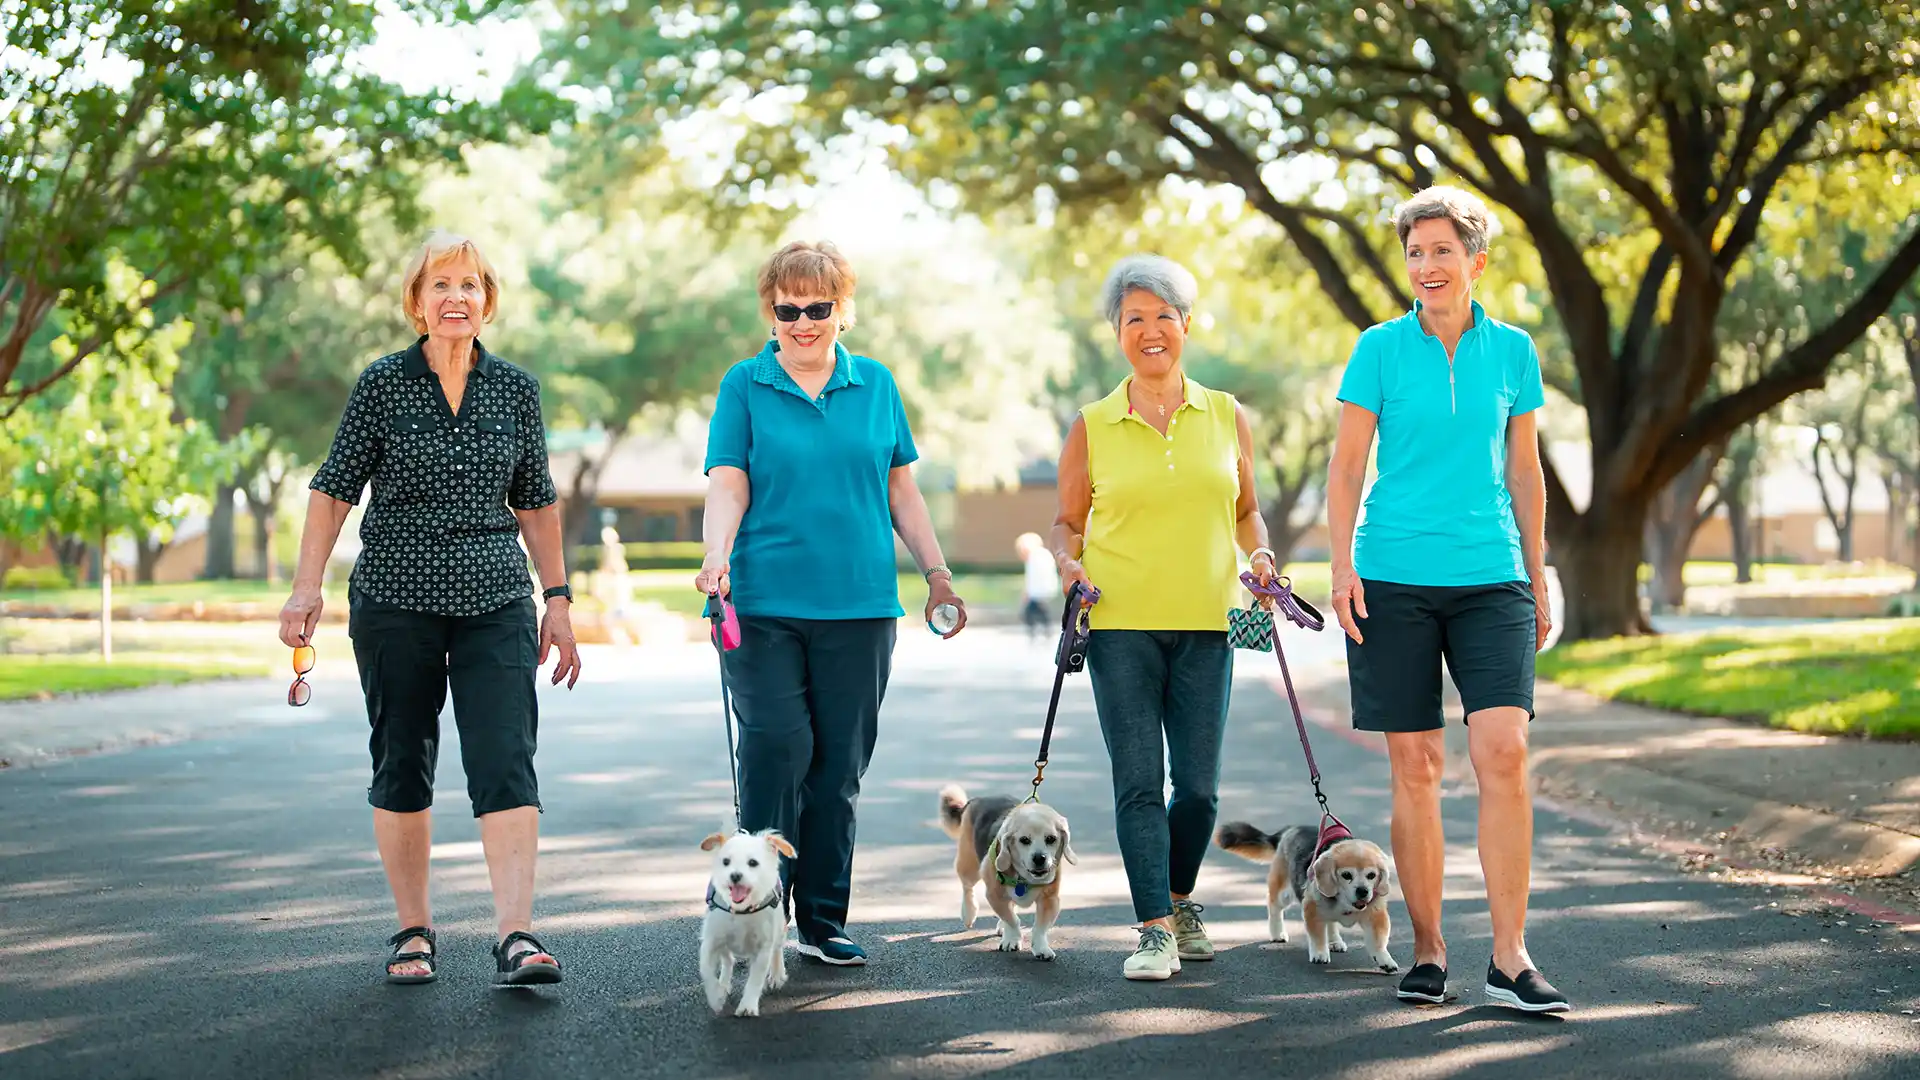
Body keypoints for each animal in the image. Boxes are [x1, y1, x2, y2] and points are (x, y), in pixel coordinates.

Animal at [695, 822, 791, 1014]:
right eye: (726, 862)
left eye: (753, 863)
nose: (735, 875)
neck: (741, 911)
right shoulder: (711, 942)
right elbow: (706, 971)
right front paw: (716, 997)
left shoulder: (763, 949)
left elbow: (755, 979)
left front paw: (747, 1005)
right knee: (727, 960)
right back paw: (724, 984)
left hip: (779, 930)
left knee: (777, 950)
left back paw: (777, 975)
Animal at [940, 780, 1082, 957]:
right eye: (1024, 840)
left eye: (1051, 839)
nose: (1039, 858)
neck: (1024, 879)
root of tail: (978, 799)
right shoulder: (994, 896)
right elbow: (1012, 920)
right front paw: (1012, 939)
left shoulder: (1050, 900)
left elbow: (1040, 927)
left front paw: (1041, 947)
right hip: (969, 866)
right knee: (967, 888)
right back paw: (969, 913)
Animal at [1213, 818, 1397, 972]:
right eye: (1346, 875)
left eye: (1371, 875)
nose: (1363, 891)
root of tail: (1291, 829)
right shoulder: (1312, 909)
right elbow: (1317, 936)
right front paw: (1320, 953)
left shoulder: (1375, 916)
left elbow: (1378, 941)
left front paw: (1385, 960)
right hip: (1284, 893)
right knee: (1273, 906)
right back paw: (1277, 933)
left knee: (1330, 922)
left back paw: (1335, 941)